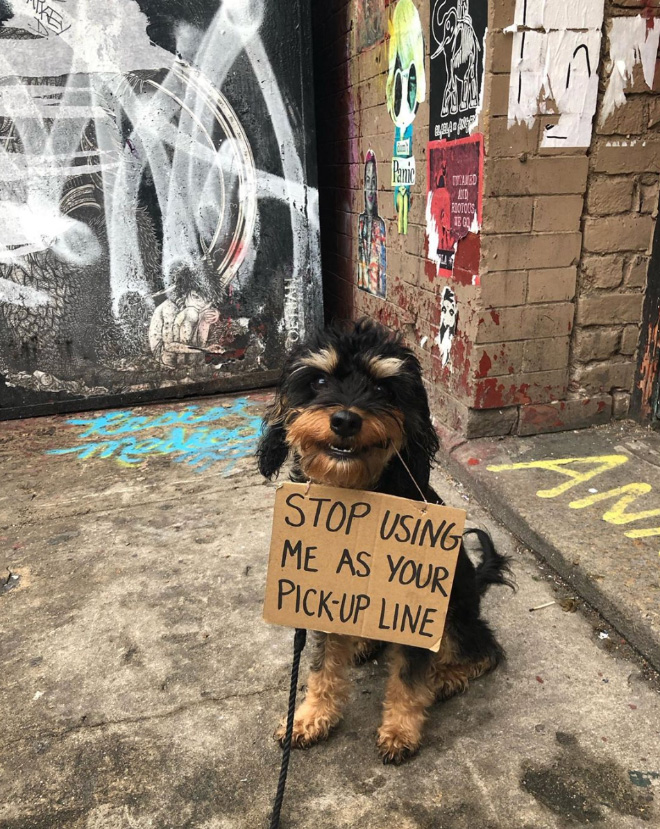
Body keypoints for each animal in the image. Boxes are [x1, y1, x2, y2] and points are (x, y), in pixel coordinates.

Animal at [256, 316, 510, 764]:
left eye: (381, 388)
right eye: (319, 381)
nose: (345, 420)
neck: (358, 493)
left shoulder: (414, 605)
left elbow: (408, 677)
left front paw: (400, 730)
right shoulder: (322, 597)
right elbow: (322, 665)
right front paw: (309, 717)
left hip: (453, 612)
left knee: (485, 649)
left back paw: (445, 677)